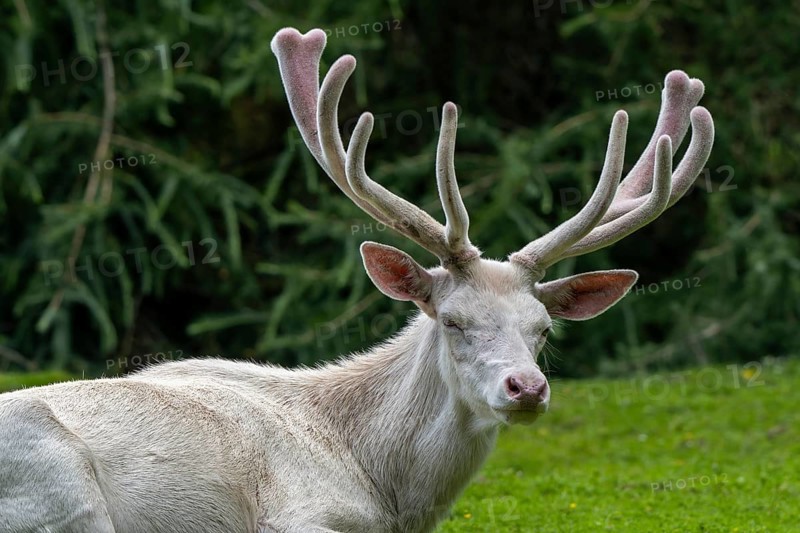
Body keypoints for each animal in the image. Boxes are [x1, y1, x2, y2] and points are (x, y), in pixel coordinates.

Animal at [0, 27, 714, 533]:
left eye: (543, 330)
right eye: (452, 320)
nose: (527, 388)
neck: (386, 493)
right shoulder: (293, 514)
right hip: (62, 488)